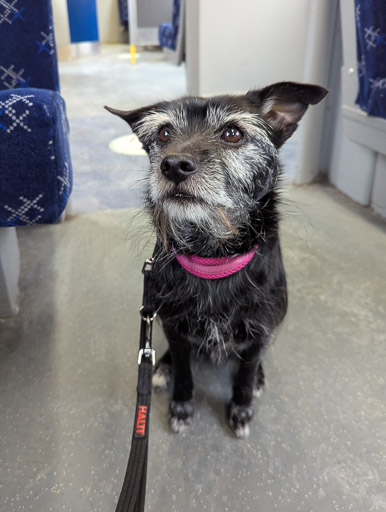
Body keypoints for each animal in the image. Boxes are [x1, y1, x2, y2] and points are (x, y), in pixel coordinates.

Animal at [107, 82, 328, 438]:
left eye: (233, 133)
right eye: (164, 133)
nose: (173, 165)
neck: (212, 257)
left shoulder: (258, 334)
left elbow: (245, 375)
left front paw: (241, 408)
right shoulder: (175, 329)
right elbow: (185, 373)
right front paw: (181, 406)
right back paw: (162, 367)